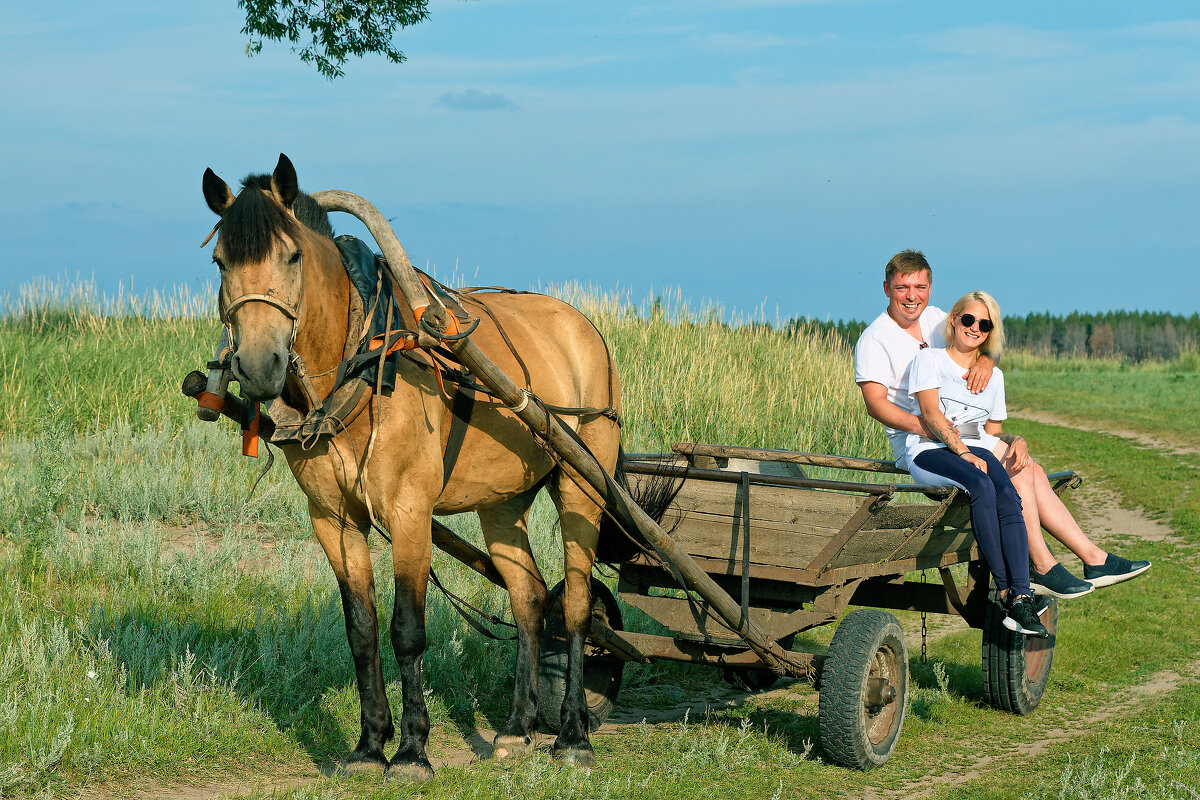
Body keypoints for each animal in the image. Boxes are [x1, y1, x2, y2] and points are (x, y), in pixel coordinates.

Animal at [200, 153, 624, 777]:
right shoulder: (333, 519)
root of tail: (582, 327)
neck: (363, 360)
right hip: (503, 502)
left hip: (581, 486)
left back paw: (571, 733)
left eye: (292, 255)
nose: (258, 366)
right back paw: (517, 727)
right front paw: (369, 744)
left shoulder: (409, 512)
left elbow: (406, 629)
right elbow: (361, 629)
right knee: (527, 598)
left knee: (572, 601)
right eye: (220, 261)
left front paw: (411, 750)